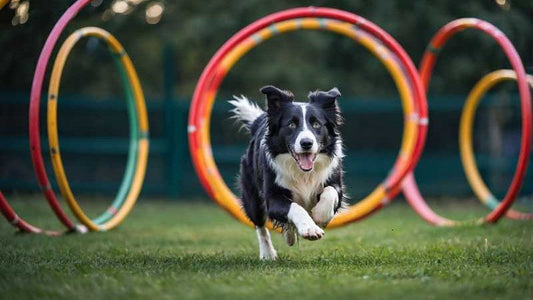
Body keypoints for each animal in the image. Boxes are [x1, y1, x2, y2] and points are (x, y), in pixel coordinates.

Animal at [229, 85, 344, 258]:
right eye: (291, 125)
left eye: (317, 124)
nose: (306, 143)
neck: (303, 172)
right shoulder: (272, 198)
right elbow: (294, 207)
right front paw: (310, 228)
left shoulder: (335, 182)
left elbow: (330, 192)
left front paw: (320, 216)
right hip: (252, 196)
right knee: (260, 226)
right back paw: (268, 253)